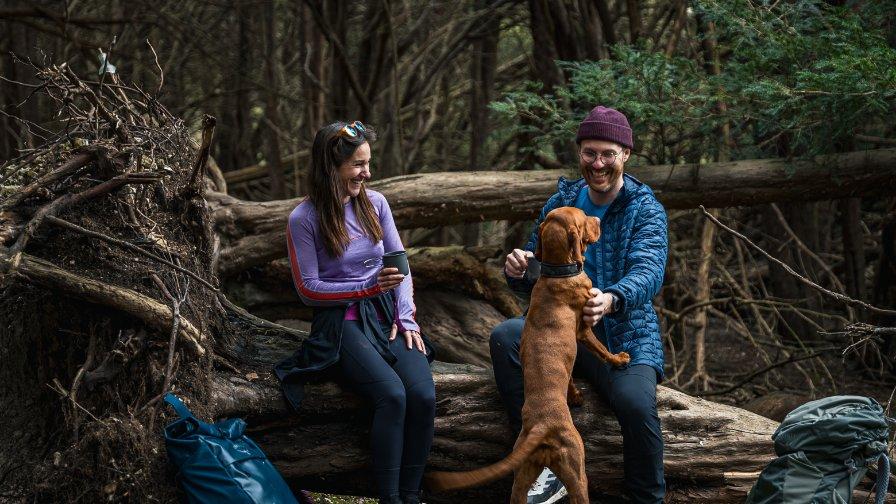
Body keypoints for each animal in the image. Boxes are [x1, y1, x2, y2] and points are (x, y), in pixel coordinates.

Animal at [428, 207, 632, 502]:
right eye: (584, 217)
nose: (598, 219)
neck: (557, 273)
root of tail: (542, 428)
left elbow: (572, 376)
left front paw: (575, 394)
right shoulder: (584, 329)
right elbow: (603, 350)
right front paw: (619, 359)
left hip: (521, 479)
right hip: (577, 473)